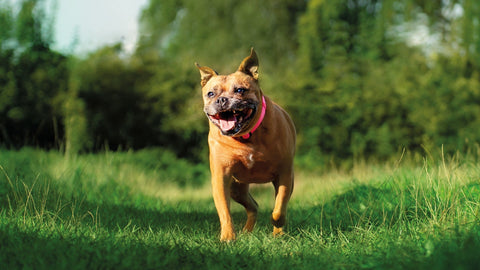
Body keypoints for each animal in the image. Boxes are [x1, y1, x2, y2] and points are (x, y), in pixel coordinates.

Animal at [196, 48, 296, 240]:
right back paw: (246, 232)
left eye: (240, 90)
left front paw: (278, 223)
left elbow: (279, 207)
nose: (222, 100)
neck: (245, 137)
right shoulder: (221, 178)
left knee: (270, 204)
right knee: (253, 207)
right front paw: (228, 237)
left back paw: (277, 233)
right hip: (237, 189)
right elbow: (225, 211)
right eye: (211, 93)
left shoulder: (284, 174)